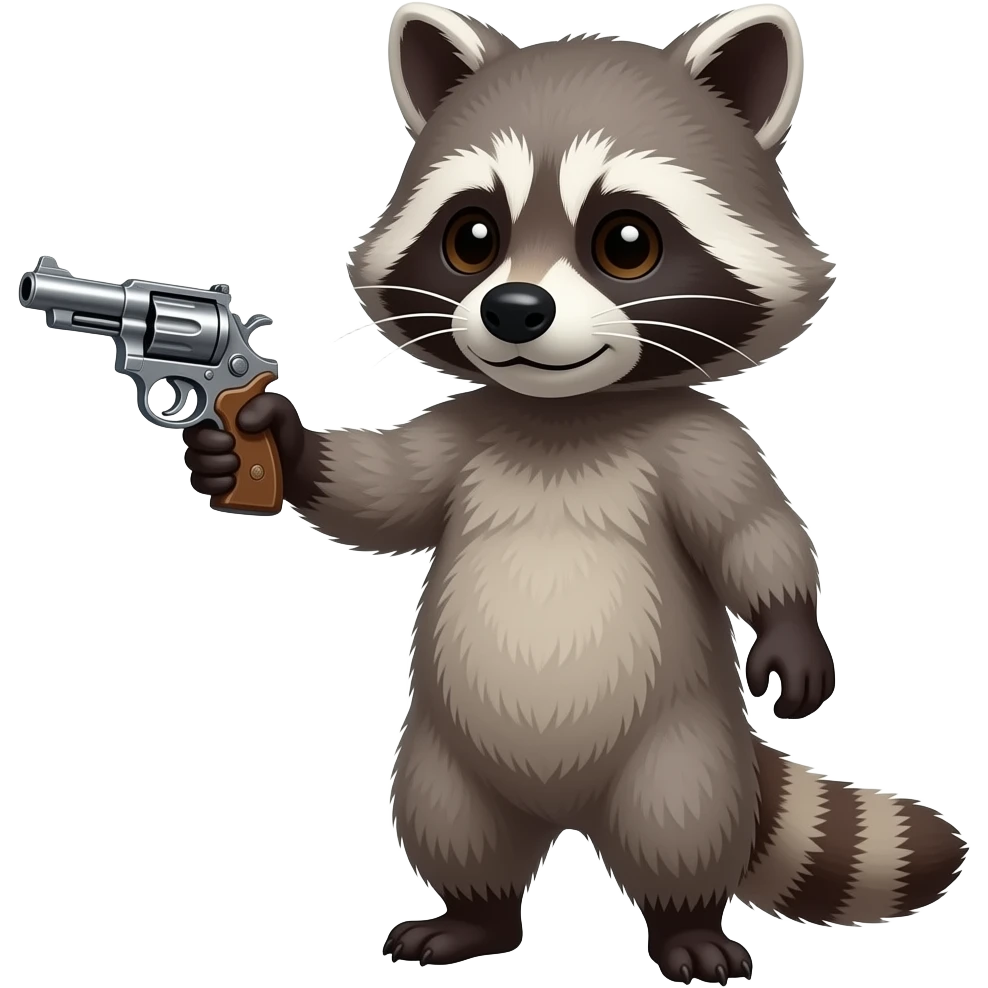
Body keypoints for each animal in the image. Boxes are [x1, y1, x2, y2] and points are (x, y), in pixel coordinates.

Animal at [183, 2, 967, 982]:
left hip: (680, 745)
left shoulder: (697, 438)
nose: (514, 311)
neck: (566, 416)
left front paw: (791, 626)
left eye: (625, 243)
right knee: (453, 822)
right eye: (472, 237)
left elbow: (754, 529)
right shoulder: (475, 425)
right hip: (444, 749)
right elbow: (389, 492)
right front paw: (278, 447)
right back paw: (474, 919)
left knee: (683, 823)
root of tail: (569, 810)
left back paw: (685, 926)